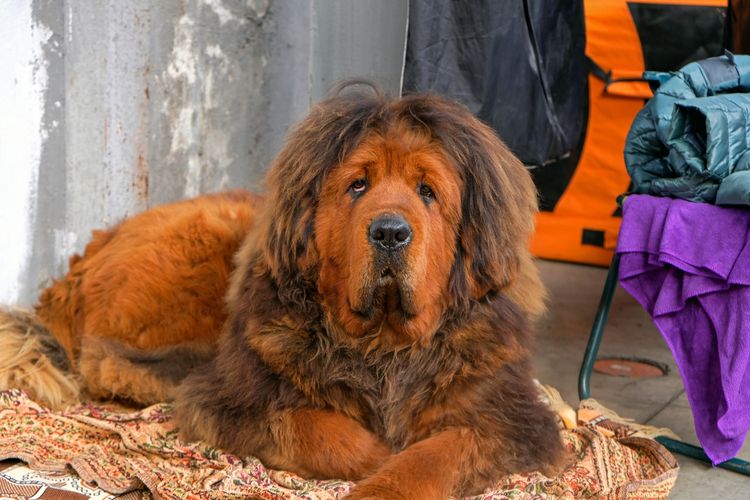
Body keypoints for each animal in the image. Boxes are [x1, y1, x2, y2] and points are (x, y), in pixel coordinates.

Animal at [0, 89, 564, 496]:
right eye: (358, 185)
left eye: (427, 191)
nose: (389, 232)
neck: (384, 346)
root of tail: (80, 263)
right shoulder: (232, 399)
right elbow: (315, 428)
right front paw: (377, 460)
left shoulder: (515, 419)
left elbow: (440, 451)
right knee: (108, 361)